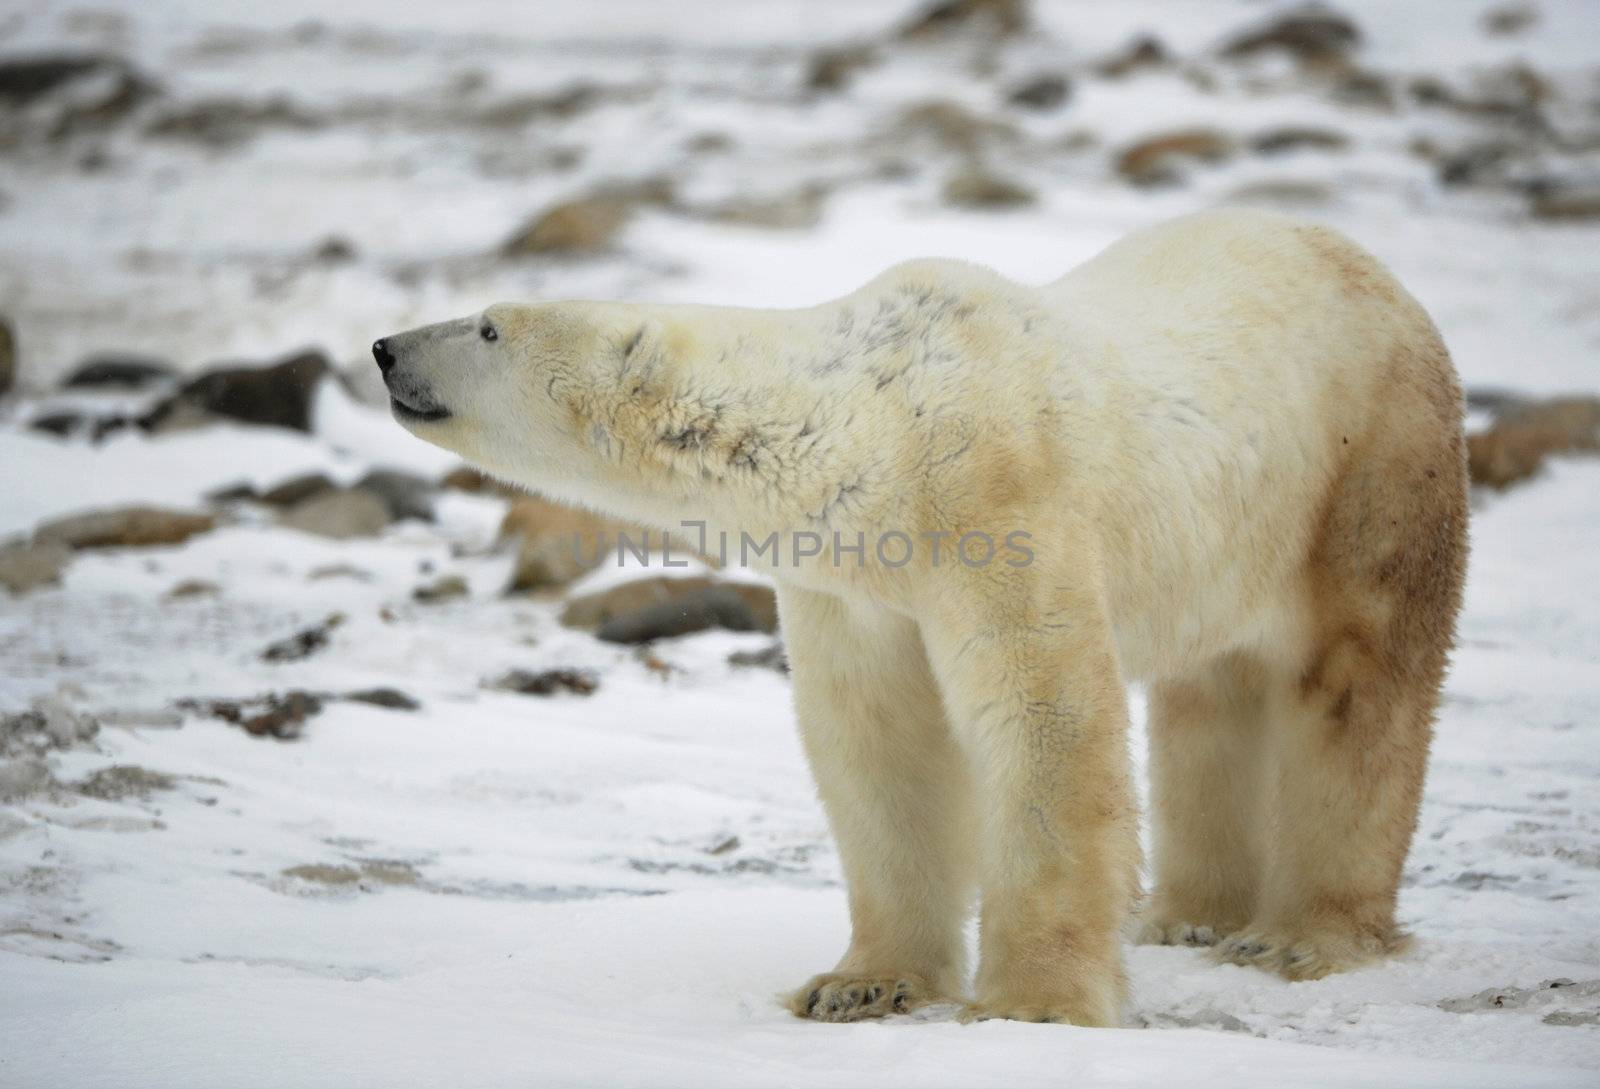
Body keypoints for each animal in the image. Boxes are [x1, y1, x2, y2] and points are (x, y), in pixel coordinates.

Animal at [371, 207, 1465, 1023]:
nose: (383, 347)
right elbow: (876, 743)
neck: (880, 431)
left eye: (488, 325)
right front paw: (857, 984)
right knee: (1210, 692)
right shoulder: (853, 579)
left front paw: (1032, 1002)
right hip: (1226, 534)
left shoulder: (1000, 506)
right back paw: (1184, 915)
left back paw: (1301, 935)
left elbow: (1043, 723)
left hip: (1367, 468)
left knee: (1359, 687)